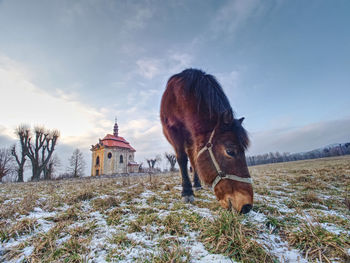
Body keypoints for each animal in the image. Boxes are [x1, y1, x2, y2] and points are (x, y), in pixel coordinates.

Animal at [160, 68, 253, 214]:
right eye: (230, 151)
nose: (247, 206)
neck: (179, 97)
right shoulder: (173, 132)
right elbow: (181, 159)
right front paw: (187, 192)